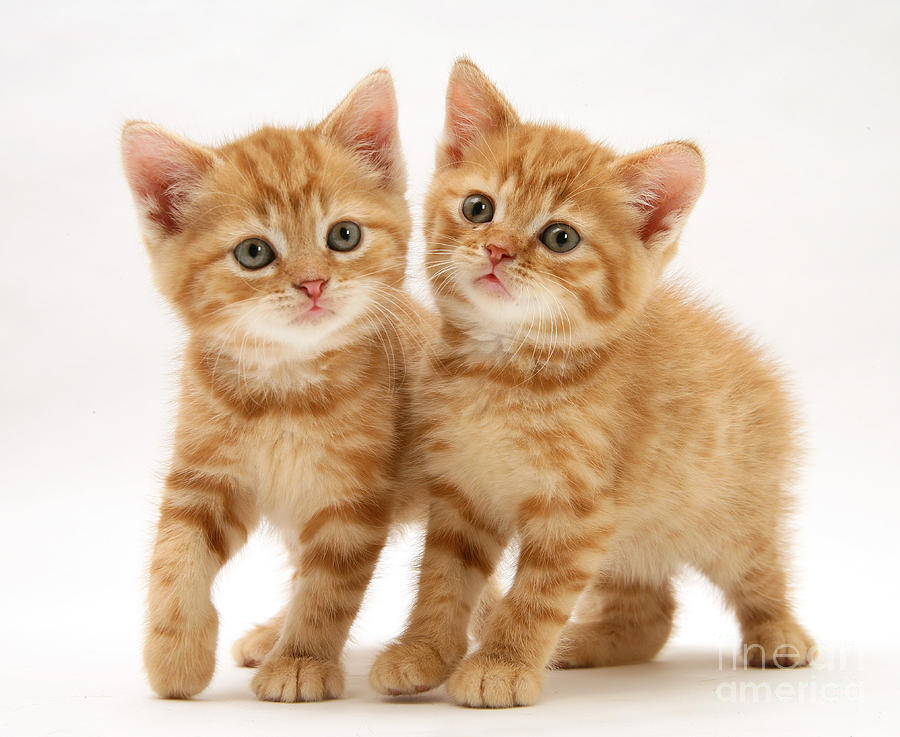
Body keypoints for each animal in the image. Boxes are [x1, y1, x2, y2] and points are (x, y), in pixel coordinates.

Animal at [121, 69, 428, 700]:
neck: (288, 387)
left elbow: (328, 591)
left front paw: (302, 661)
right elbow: (174, 557)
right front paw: (174, 654)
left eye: (344, 235)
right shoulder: (203, 476)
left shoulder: (353, 501)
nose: (312, 283)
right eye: (254, 252)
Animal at [370, 61, 812, 708]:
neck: (502, 372)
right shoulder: (461, 491)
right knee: (651, 614)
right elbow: (443, 580)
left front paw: (501, 664)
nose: (497, 249)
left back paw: (781, 636)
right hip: (635, 540)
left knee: (760, 572)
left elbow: (536, 594)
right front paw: (423, 651)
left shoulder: (577, 511)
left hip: (730, 515)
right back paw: (580, 645)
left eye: (561, 238)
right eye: (478, 207)